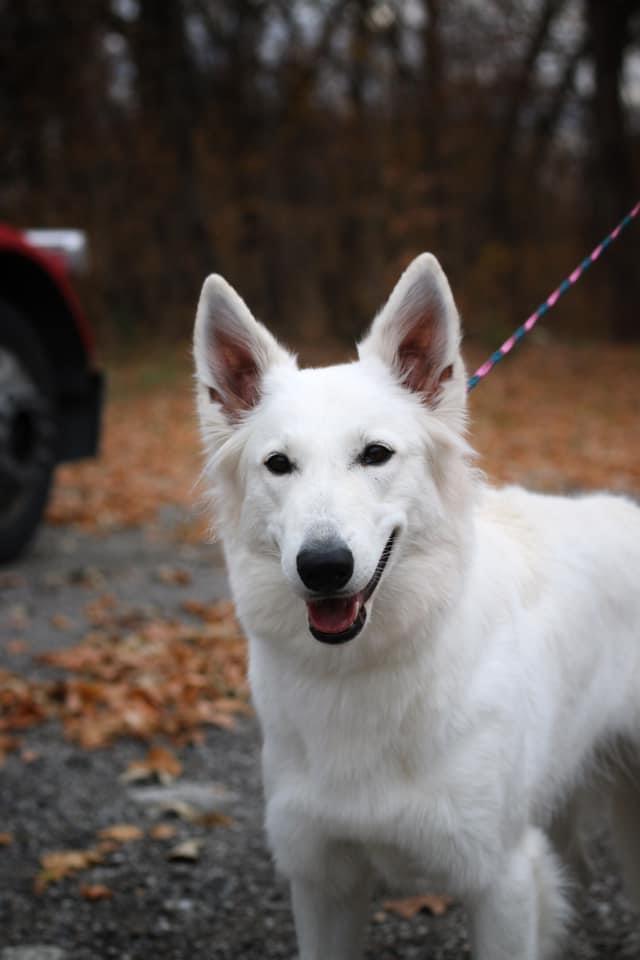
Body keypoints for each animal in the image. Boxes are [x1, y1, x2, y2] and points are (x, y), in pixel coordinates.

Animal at [191, 251, 640, 956]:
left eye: (375, 454)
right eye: (279, 464)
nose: (323, 567)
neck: (362, 675)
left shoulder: (503, 880)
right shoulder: (322, 885)